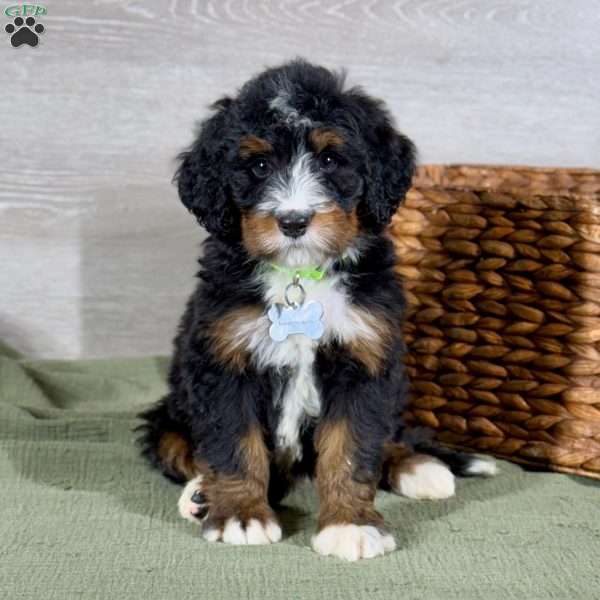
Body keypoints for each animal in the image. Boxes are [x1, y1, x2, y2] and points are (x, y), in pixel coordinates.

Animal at [137, 58, 496, 560]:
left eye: (329, 160)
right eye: (259, 165)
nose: (293, 221)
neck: (300, 276)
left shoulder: (364, 358)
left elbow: (353, 447)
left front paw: (350, 524)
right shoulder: (224, 360)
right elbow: (234, 444)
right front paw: (241, 515)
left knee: (390, 436)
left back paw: (420, 467)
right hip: (169, 413)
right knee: (178, 446)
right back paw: (199, 495)